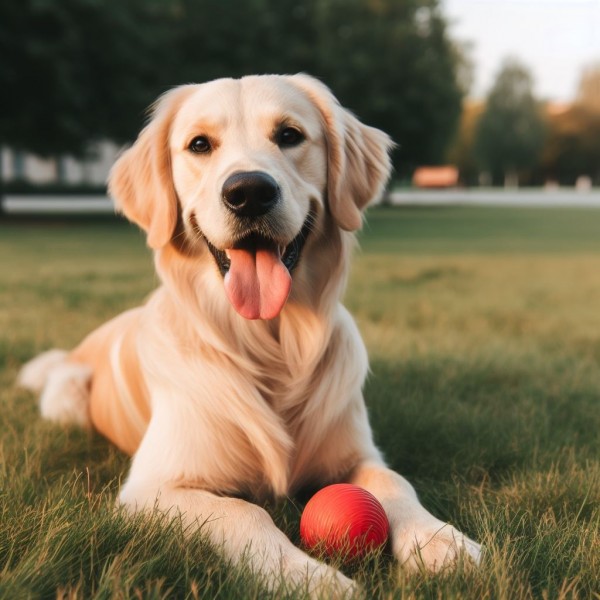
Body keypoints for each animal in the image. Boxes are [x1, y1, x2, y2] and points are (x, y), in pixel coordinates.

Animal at [18, 74, 482, 596]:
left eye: (289, 135)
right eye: (199, 145)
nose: (249, 192)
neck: (270, 344)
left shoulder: (359, 453)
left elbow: (394, 482)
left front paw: (440, 541)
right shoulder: (154, 488)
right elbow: (242, 511)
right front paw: (307, 577)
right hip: (68, 400)